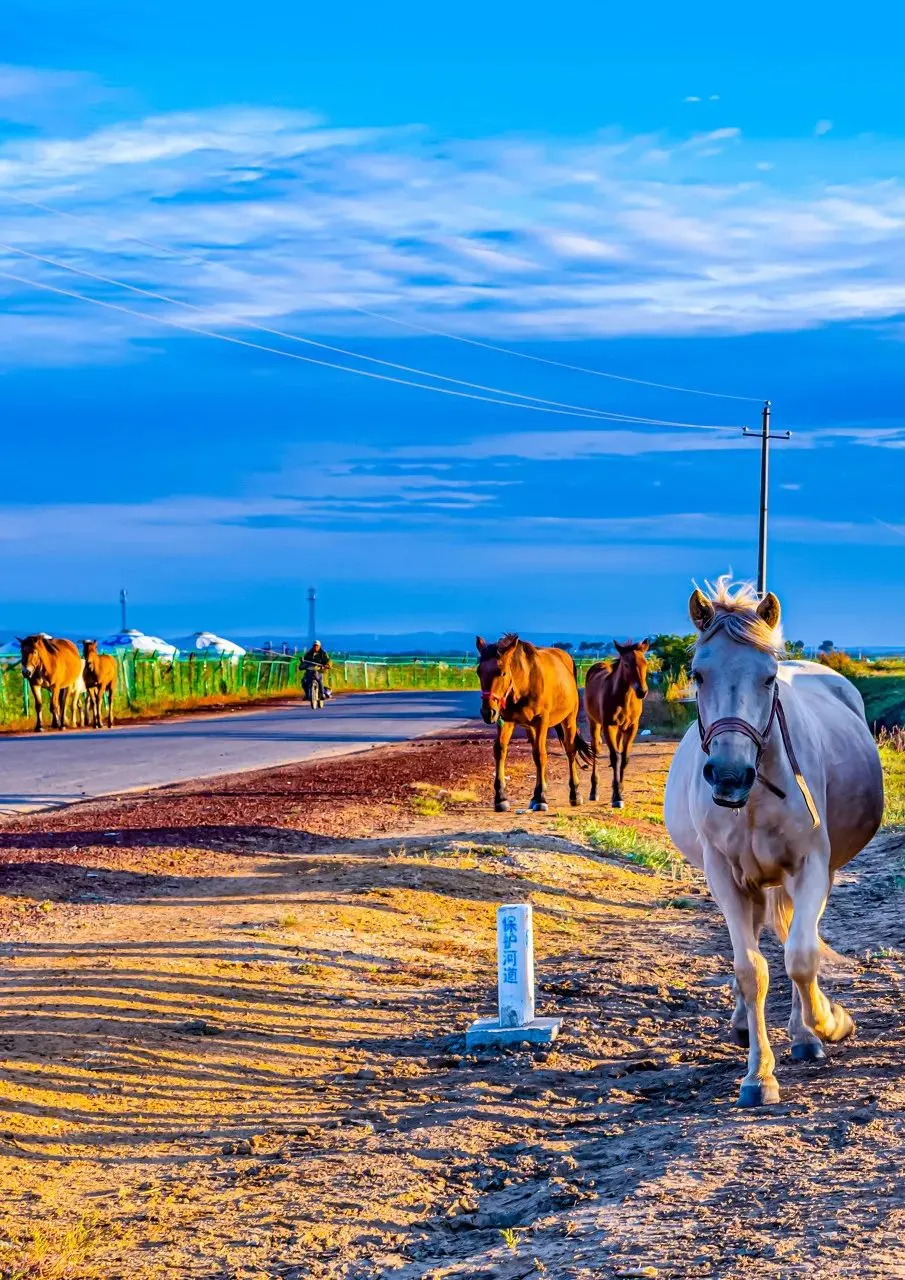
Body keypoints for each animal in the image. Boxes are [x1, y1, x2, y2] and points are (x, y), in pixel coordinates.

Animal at [473, 634, 593, 814]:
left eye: (501, 672)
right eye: (479, 672)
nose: (488, 712)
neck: (524, 683)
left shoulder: (541, 721)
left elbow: (540, 755)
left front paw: (540, 797)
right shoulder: (506, 720)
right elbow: (500, 750)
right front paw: (501, 797)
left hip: (569, 719)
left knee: (570, 750)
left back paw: (574, 793)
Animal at [588, 640, 650, 808]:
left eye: (645, 663)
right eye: (627, 665)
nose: (642, 691)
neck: (624, 698)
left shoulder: (632, 727)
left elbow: (624, 757)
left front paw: (619, 789)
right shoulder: (608, 726)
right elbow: (615, 757)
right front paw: (617, 796)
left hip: (620, 730)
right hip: (594, 723)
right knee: (596, 750)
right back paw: (594, 791)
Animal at [665, 586, 885, 1105]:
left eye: (768, 678)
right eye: (697, 674)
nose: (729, 775)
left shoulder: (811, 867)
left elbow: (800, 957)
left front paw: (827, 1023)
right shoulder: (724, 877)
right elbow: (751, 970)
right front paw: (758, 1076)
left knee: (791, 943)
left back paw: (804, 1034)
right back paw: (747, 1025)